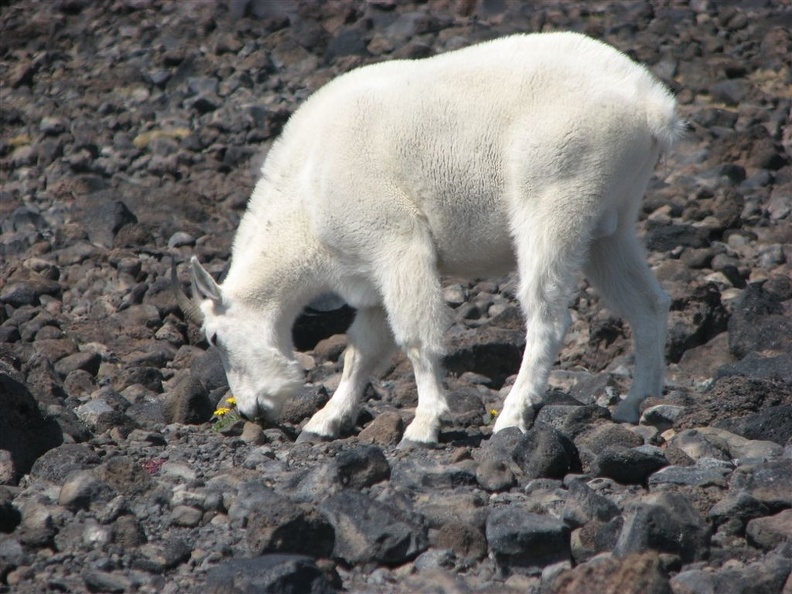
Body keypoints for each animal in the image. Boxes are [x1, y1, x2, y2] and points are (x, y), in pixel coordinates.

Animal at [172, 30, 680, 442]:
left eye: (214, 339)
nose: (253, 409)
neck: (306, 194)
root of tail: (652, 107)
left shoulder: (397, 243)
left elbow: (416, 337)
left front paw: (424, 424)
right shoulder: (372, 271)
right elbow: (361, 350)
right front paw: (326, 420)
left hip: (556, 196)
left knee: (546, 314)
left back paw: (512, 416)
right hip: (611, 222)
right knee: (647, 303)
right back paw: (635, 402)